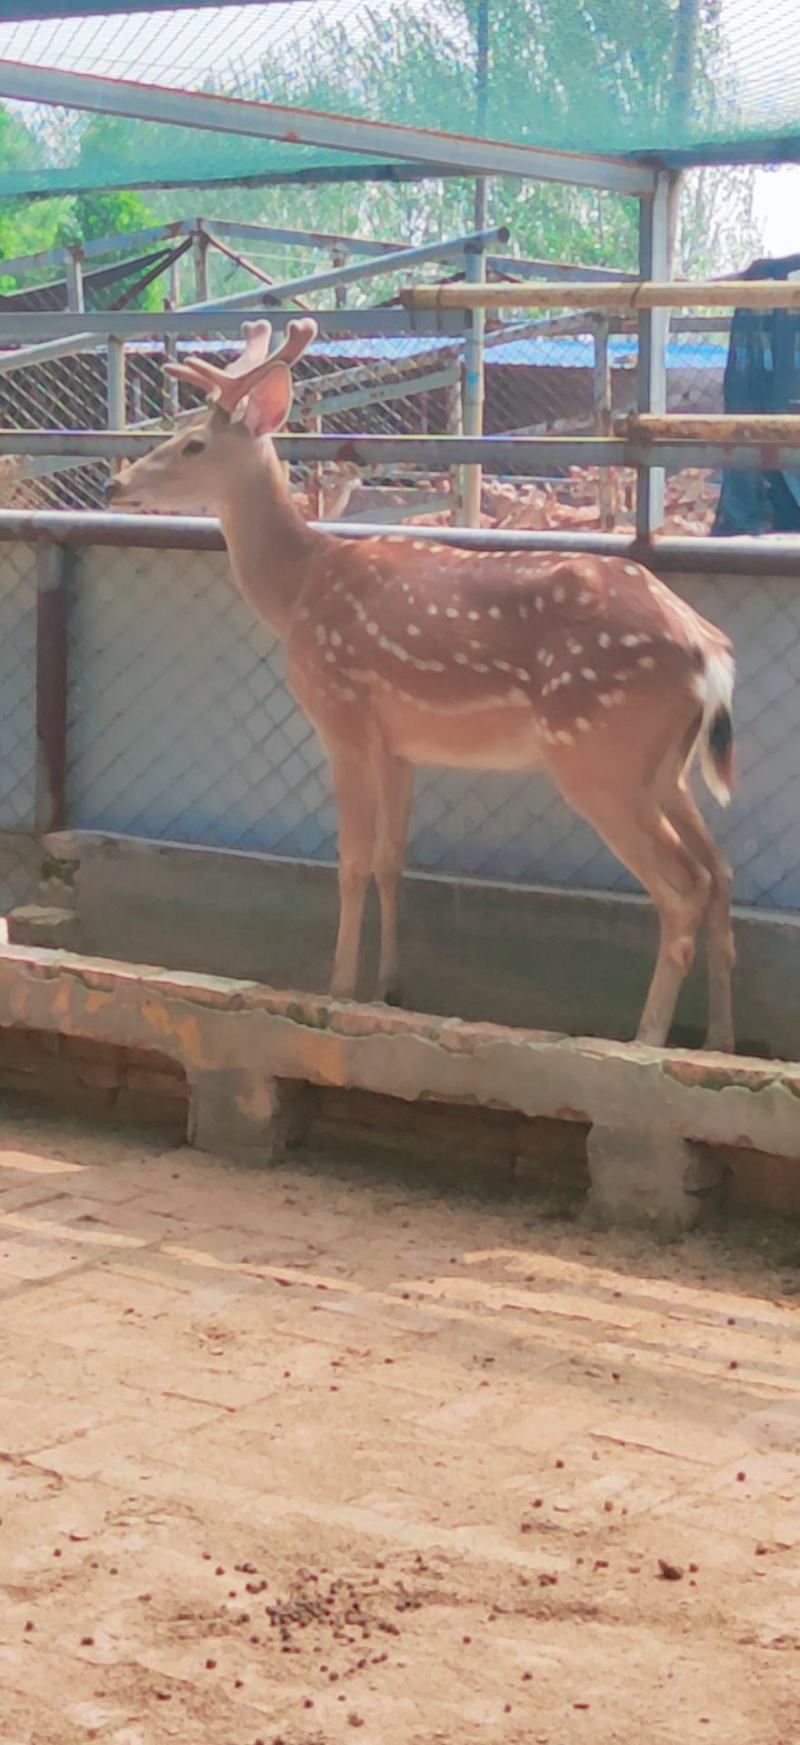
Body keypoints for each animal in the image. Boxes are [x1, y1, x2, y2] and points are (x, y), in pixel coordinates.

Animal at [107, 317, 737, 1047]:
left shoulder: (343, 715)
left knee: (683, 886)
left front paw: (337, 986)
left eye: (192, 443)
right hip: (666, 767)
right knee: (719, 873)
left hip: (597, 750)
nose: (116, 484)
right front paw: (390, 986)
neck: (299, 591)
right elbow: (391, 860)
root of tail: (709, 652)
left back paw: (646, 1041)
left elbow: (352, 860)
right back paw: (718, 1041)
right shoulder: (400, 745)